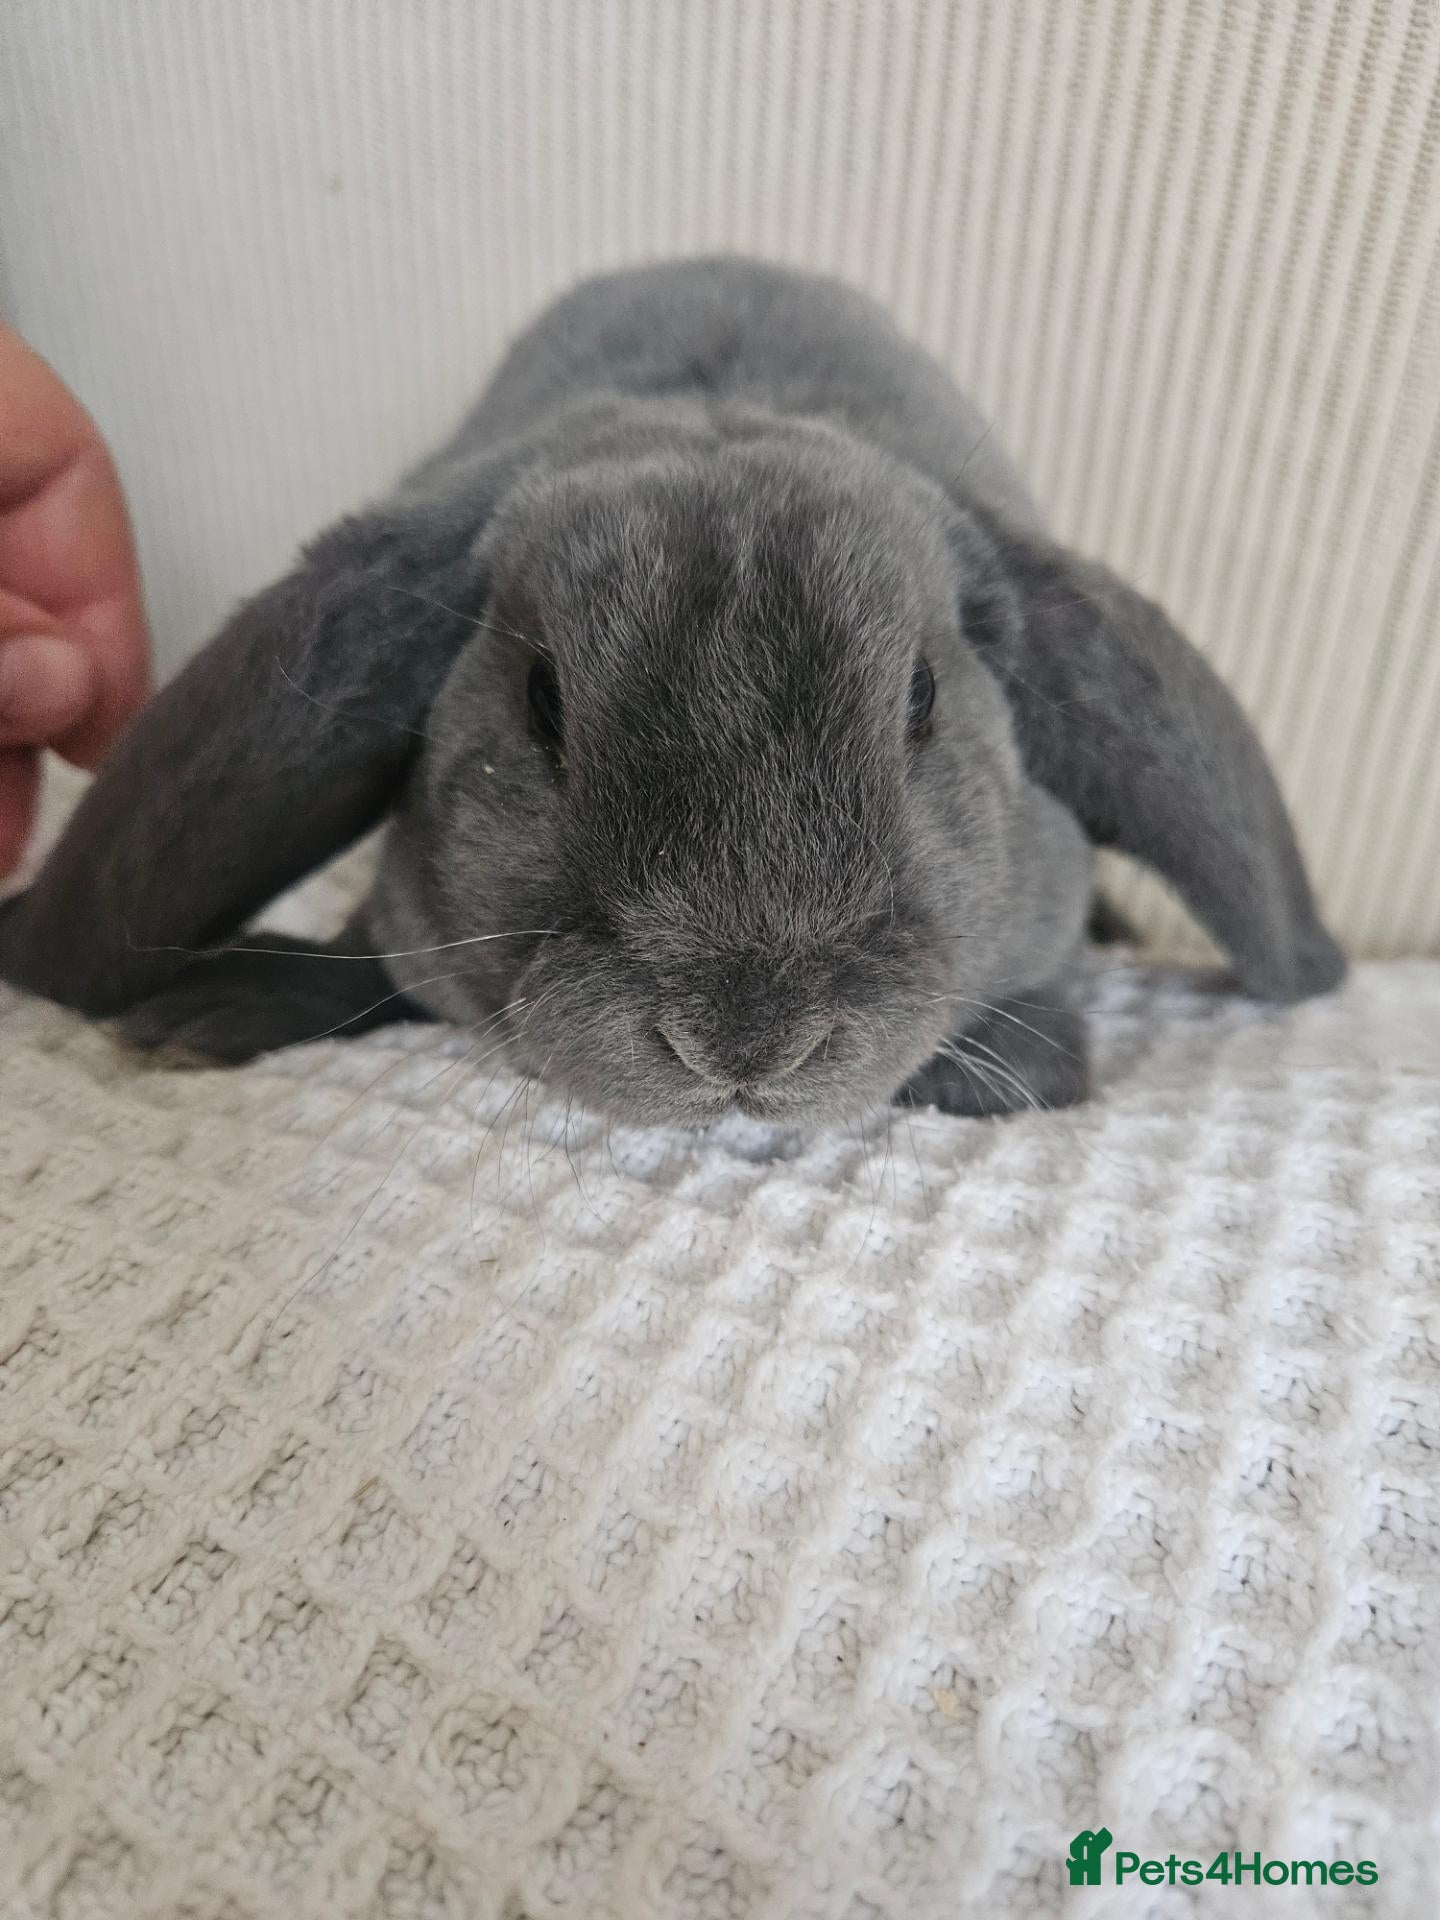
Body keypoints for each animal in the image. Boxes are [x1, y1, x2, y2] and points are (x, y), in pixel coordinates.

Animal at [0, 257, 1345, 1125]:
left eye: (921, 700)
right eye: (542, 704)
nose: (747, 1044)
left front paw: (1001, 1062)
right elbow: (373, 960)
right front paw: (221, 1005)